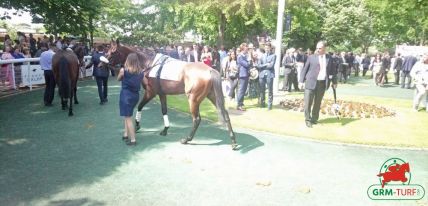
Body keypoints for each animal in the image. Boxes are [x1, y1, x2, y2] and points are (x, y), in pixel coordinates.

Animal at [104, 40, 237, 149]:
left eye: (113, 51)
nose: (101, 64)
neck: (149, 64)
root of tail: (210, 70)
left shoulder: (150, 92)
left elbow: (140, 106)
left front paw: (137, 126)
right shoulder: (162, 93)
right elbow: (164, 110)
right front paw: (165, 130)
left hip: (193, 99)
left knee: (197, 119)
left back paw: (187, 139)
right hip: (212, 96)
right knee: (225, 114)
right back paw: (233, 142)